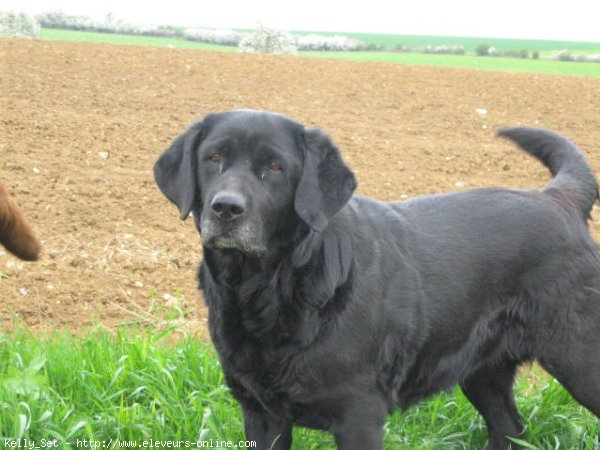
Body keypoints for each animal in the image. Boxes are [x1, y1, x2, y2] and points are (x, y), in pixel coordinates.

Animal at [156, 110, 600, 450]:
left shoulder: (360, 416)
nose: (226, 208)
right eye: (213, 158)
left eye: (275, 167)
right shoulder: (261, 413)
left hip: (581, 360)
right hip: (482, 370)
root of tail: (557, 199)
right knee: (510, 427)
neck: (268, 287)